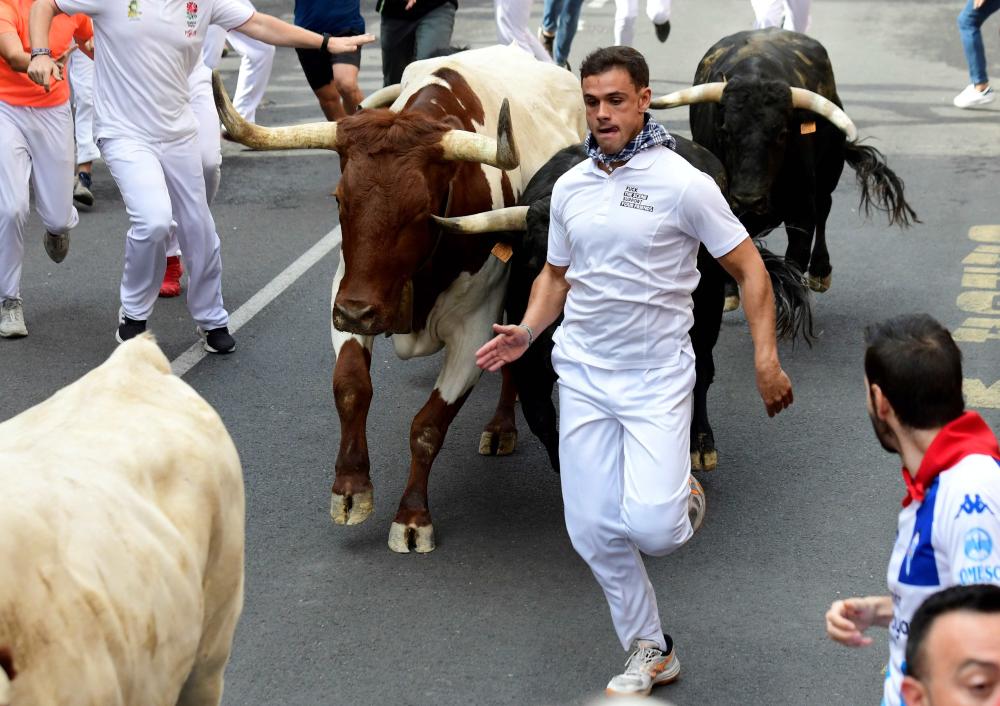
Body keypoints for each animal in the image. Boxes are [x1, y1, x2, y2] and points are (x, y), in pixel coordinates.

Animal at [500, 139, 812, 472]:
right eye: (531, 263)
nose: (551, 344)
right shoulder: (527, 360)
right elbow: (541, 418)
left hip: (707, 313)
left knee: (701, 372)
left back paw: (701, 444)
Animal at [684, 28, 916, 290]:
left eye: (782, 133)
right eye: (725, 131)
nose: (748, 200)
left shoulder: (802, 213)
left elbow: (795, 262)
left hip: (829, 171)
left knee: (824, 206)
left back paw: (820, 272)